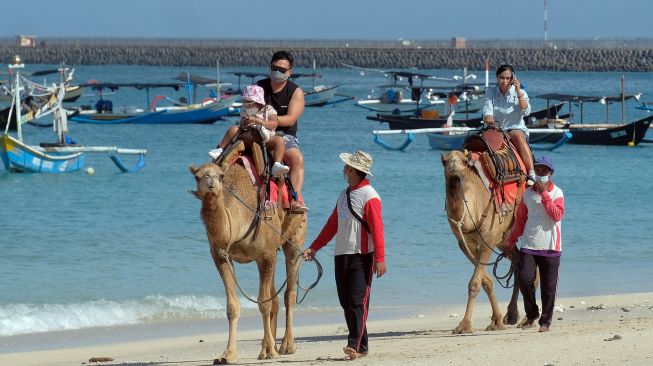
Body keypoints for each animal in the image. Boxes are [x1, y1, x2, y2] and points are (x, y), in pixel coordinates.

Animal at [188, 141, 306, 364]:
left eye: (220, 176)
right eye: (198, 177)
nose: (211, 185)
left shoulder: (266, 254)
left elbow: (263, 304)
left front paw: (268, 351)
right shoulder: (221, 256)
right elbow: (233, 307)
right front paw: (227, 355)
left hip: (294, 239)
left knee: (289, 292)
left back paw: (287, 345)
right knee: (275, 297)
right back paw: (273, 343)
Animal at [440, 149, 524, 334]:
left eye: (464, 161)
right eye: (444, 161)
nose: (454, 169)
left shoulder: (489, 238)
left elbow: (474, 283)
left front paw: (464, 325)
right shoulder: (465, 243)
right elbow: (486, 282)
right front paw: (497, 321)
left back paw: (528, 319)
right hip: (505, 240)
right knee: (518, 258)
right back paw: (512, 316)